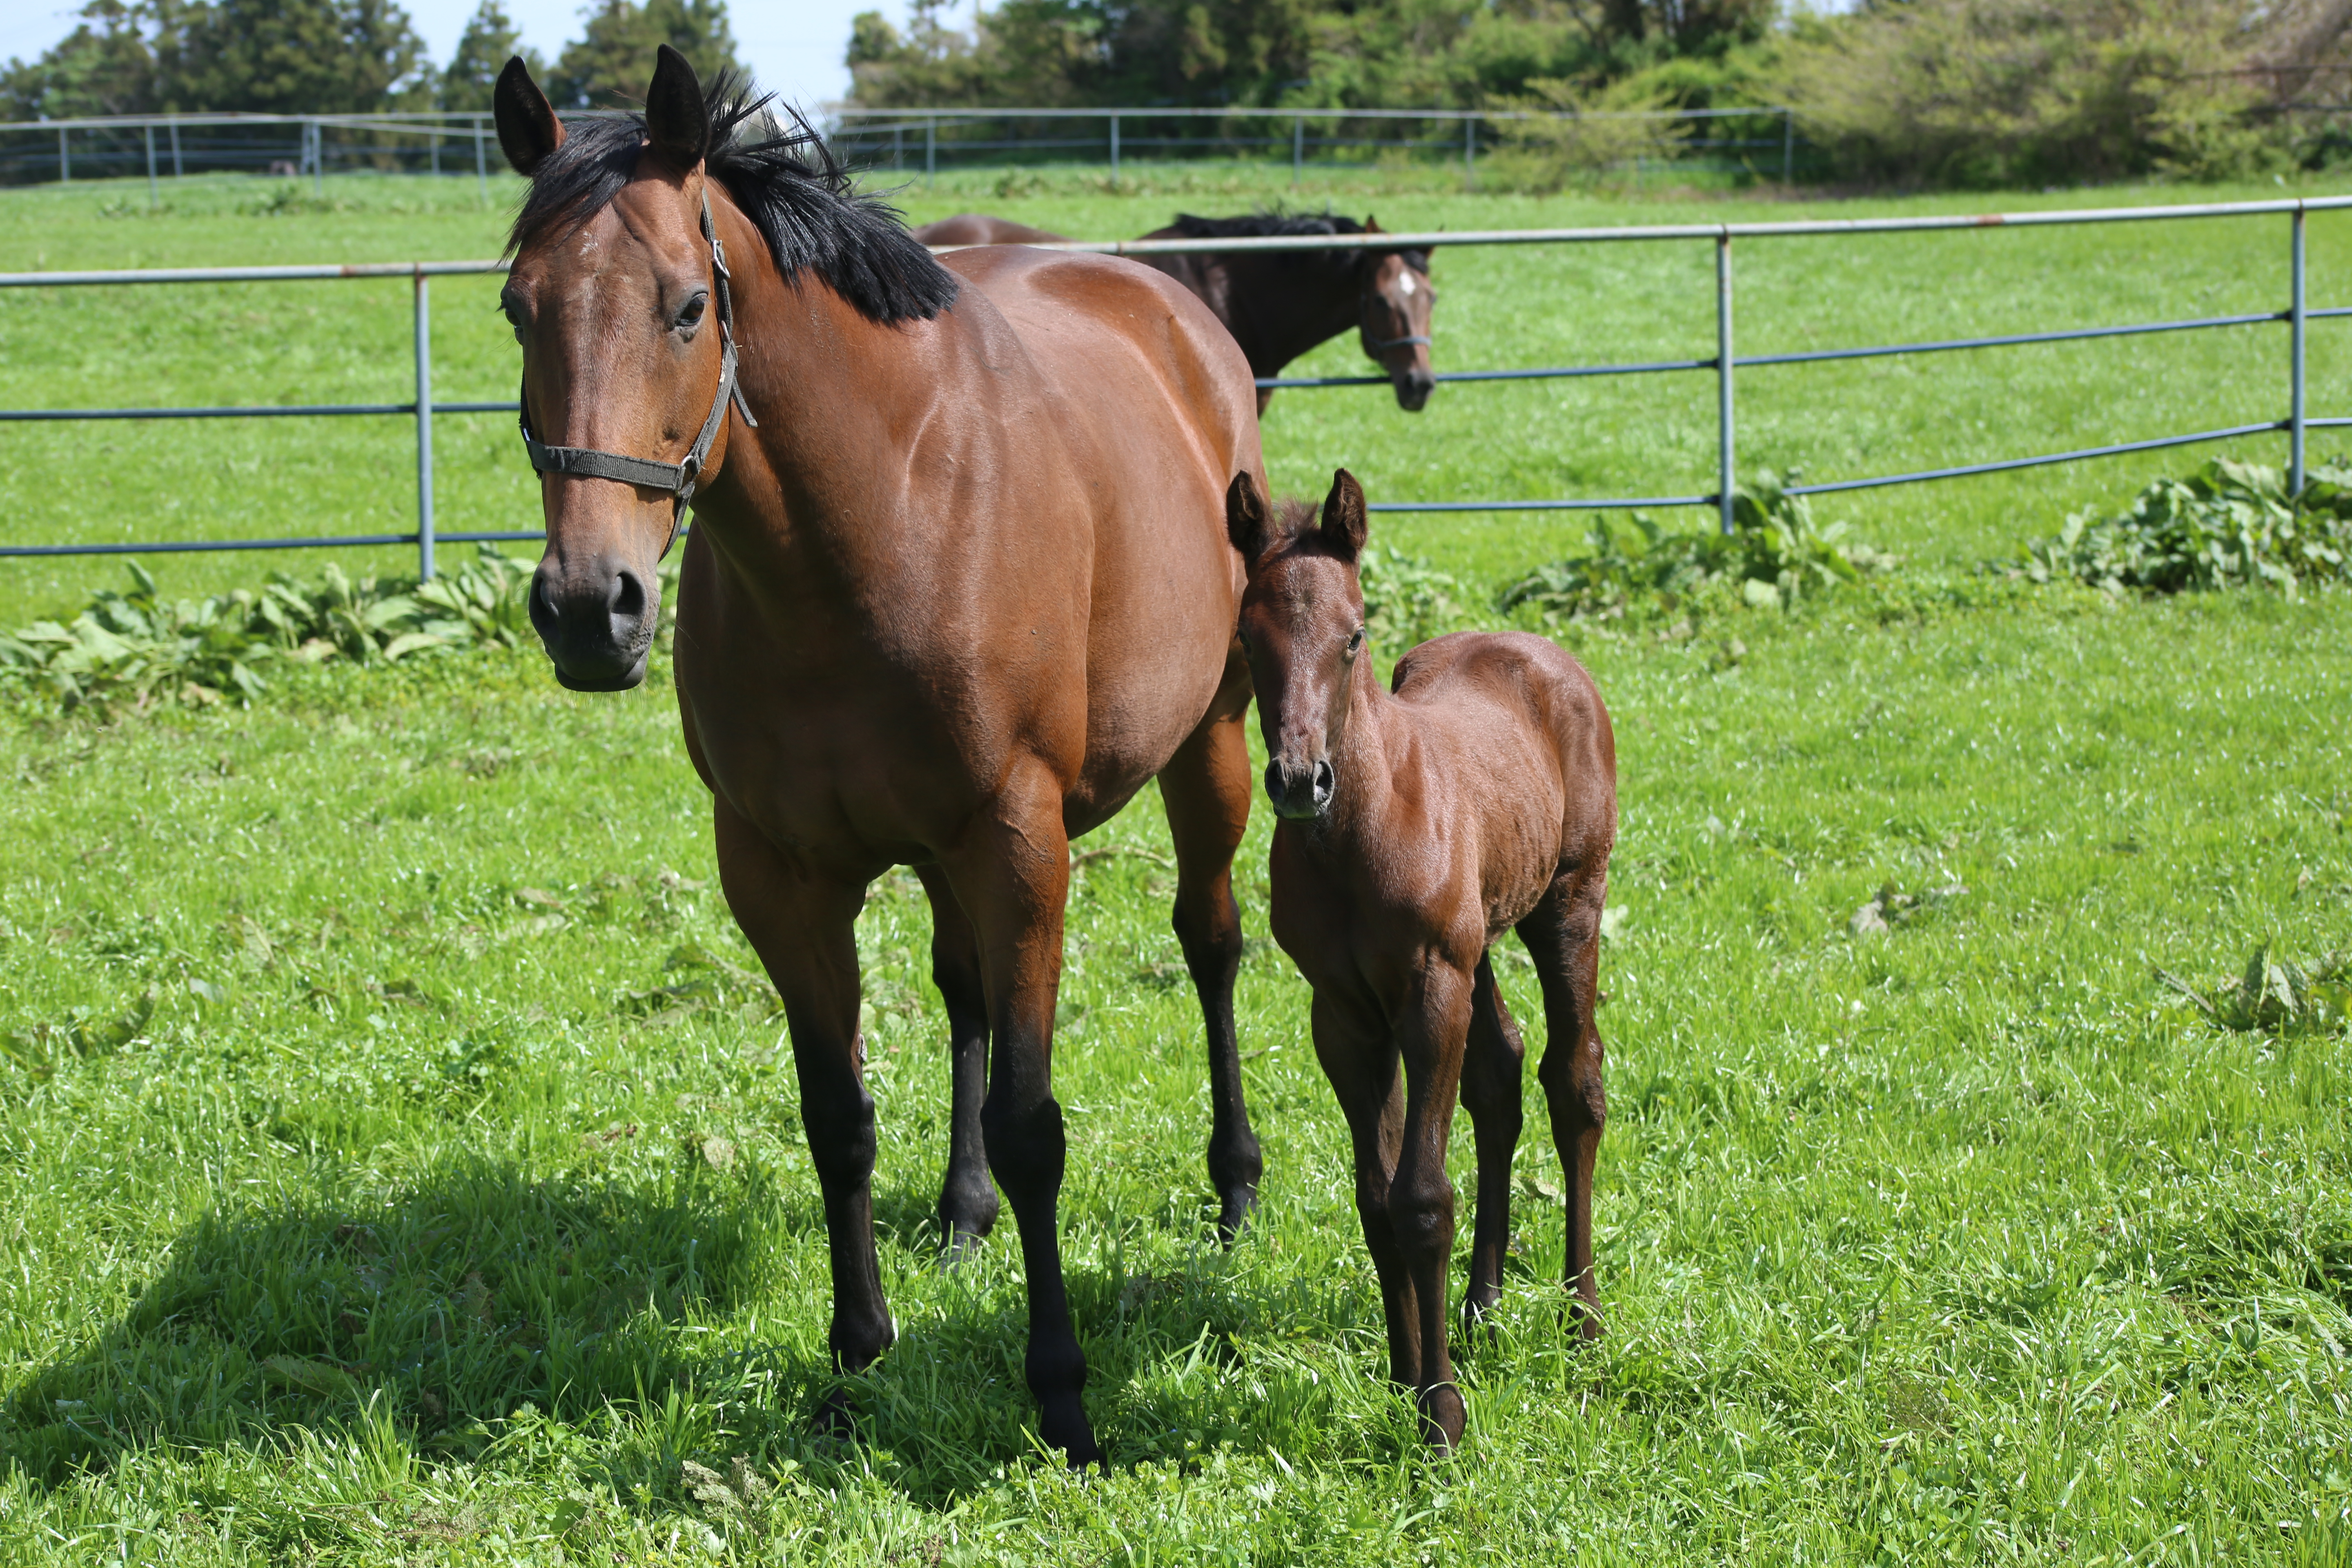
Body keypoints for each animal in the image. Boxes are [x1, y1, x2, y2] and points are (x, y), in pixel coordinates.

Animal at [491, 52, 1270, 1476]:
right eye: (521, 310)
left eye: (689, 306)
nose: (589, 608)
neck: (881, 519)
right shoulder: (782, 875)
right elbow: (837, 1116)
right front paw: (856, 1357)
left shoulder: (1021, 846)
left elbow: (1033, 1124)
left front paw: (1062, 1396)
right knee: (962, 995)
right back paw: (960, 1214)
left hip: (1213, 745)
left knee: (1212, 944)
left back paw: (1234, 1184)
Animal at [1214, 470, 1618, 1457]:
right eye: (1247, 636)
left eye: (1354, 634)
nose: (1298, 781)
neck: (1361, 831)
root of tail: (1537, 650)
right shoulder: (1344, 1012)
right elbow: (1375, 1199)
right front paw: (1405, 1378)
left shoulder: (1431, 988)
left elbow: (1422, 1199)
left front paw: (1440, 1418)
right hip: (1482, 939)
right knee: (1502, 1074)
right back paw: (1483, 1305)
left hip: (1567, 905)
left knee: (1574, 1081)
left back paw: (1583, 1320)